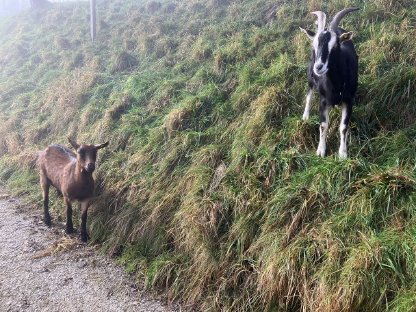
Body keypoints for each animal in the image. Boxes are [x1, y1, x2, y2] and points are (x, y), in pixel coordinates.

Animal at [300, 7, 360, 158]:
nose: (319, 67)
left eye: (335, 45)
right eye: (314, 45)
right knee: (309, 94)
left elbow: (343, 127)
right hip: (310, 77)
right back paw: (305, 116)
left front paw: (342, 153)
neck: (336, 85)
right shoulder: (323, 101)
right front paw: (321, 150)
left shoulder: (348, 100)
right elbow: (323, 125)